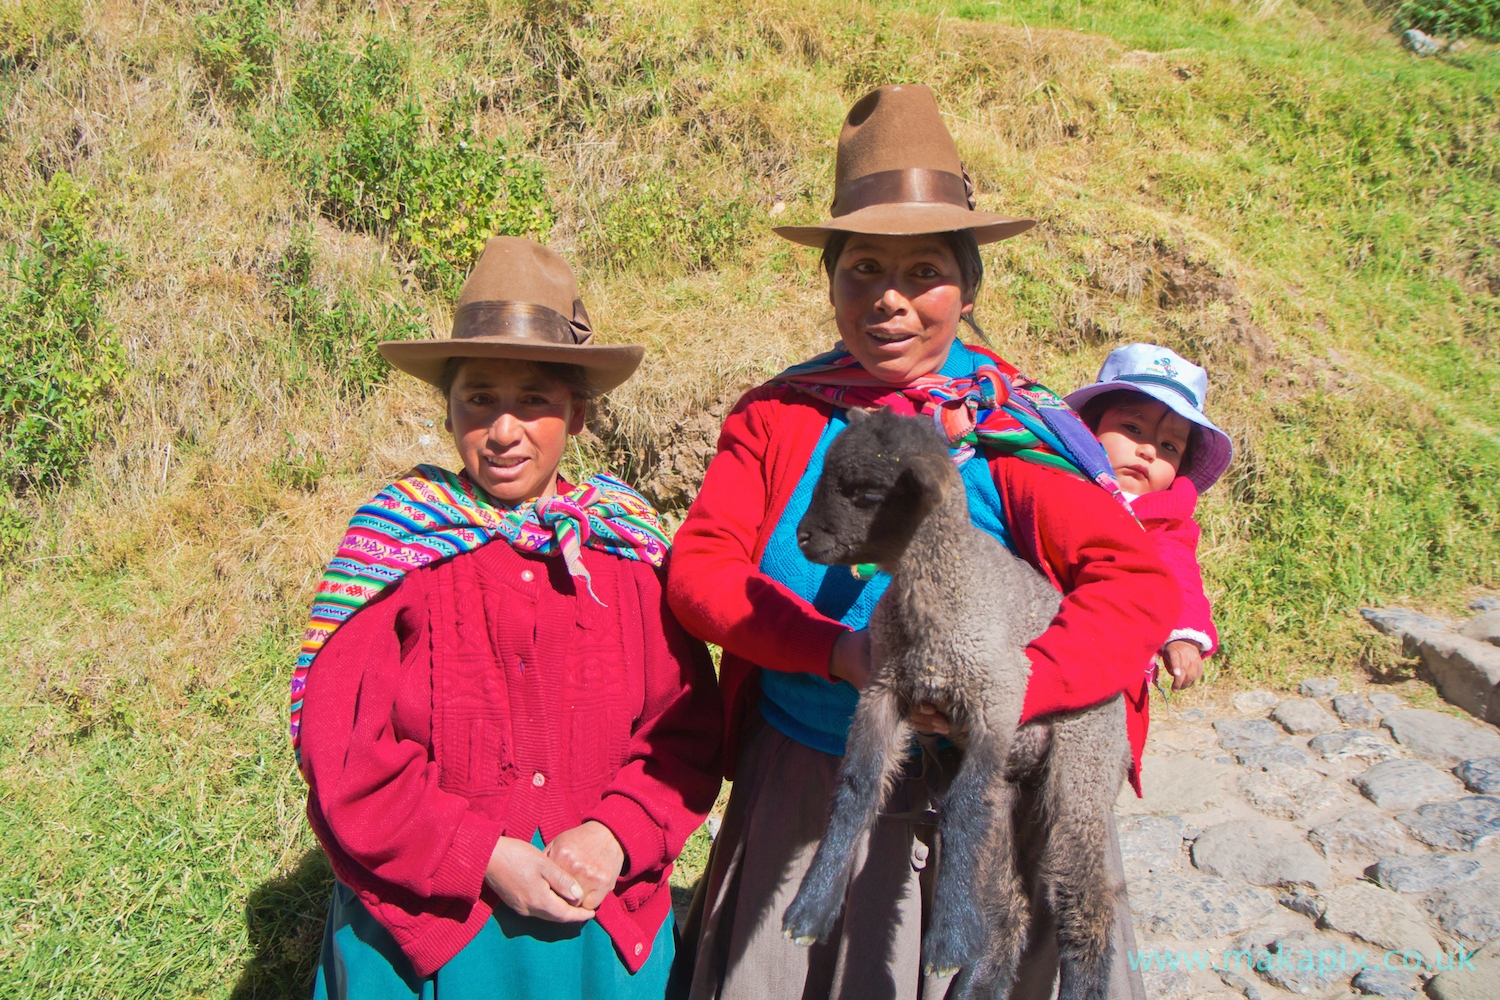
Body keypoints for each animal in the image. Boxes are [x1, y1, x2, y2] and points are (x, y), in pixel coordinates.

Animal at [786, 407, 1128, 1000]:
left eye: (866, 493)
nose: (805, 536)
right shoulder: (884, 689)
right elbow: (856, 787)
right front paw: (810, 909)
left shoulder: (997, 699)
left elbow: (963, 806)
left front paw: (945, 943)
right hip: (1014, 793)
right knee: (1009, 907)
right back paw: (976, 984)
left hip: (1084, 763)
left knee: (1083, 898)